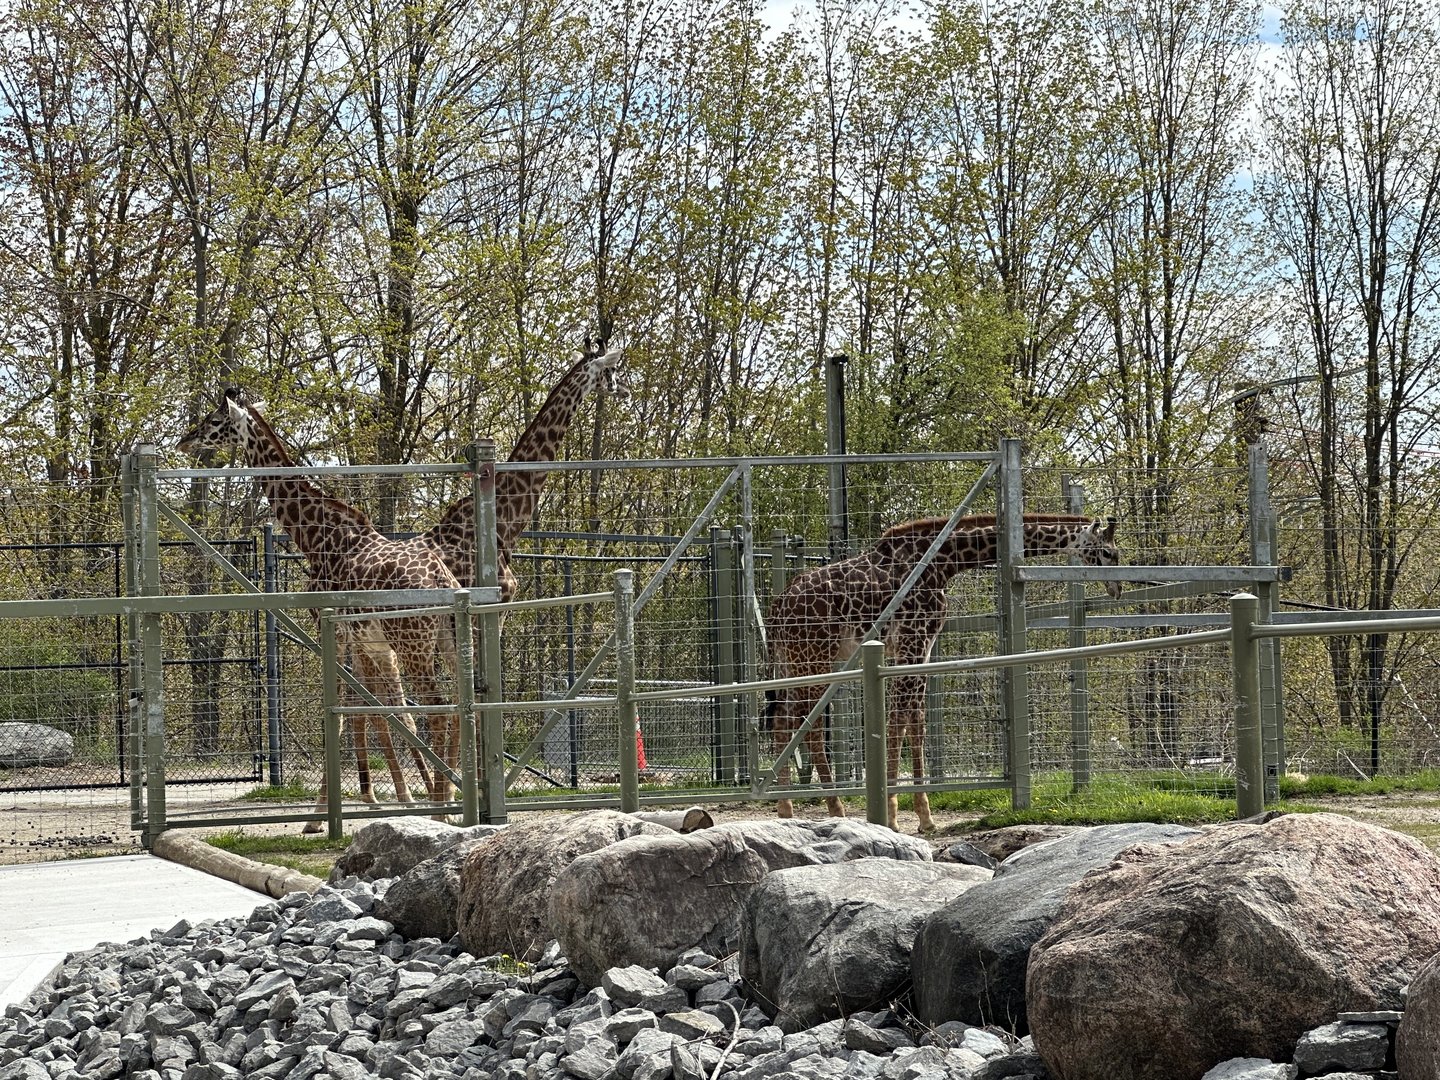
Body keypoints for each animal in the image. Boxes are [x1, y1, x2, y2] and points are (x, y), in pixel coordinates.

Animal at [177, 388, 461, 829]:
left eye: (213, 421)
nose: (184, 441)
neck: (317, 538)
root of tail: (444, 582)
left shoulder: (333, 628)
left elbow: (341, 716)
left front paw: (316, 817)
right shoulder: (362, 639)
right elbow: (369, 713)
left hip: (412, 641)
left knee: (438, 709)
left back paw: (441, 810)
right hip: (446, 638)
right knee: (462, 702)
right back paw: (452, 804)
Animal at [764, 513, 1123, 832]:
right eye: (1108, 552)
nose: (1117, 588)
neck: (942, 563)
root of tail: (776, 609)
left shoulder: (921, 648)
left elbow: (915, 723)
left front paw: (923, 815)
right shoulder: (912, 642)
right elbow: (898, 721)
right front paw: (892, 814)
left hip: (794, 661)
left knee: (783, 719)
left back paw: (786, 811)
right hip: (815, 656)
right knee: (806, 723)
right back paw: (834, 809)